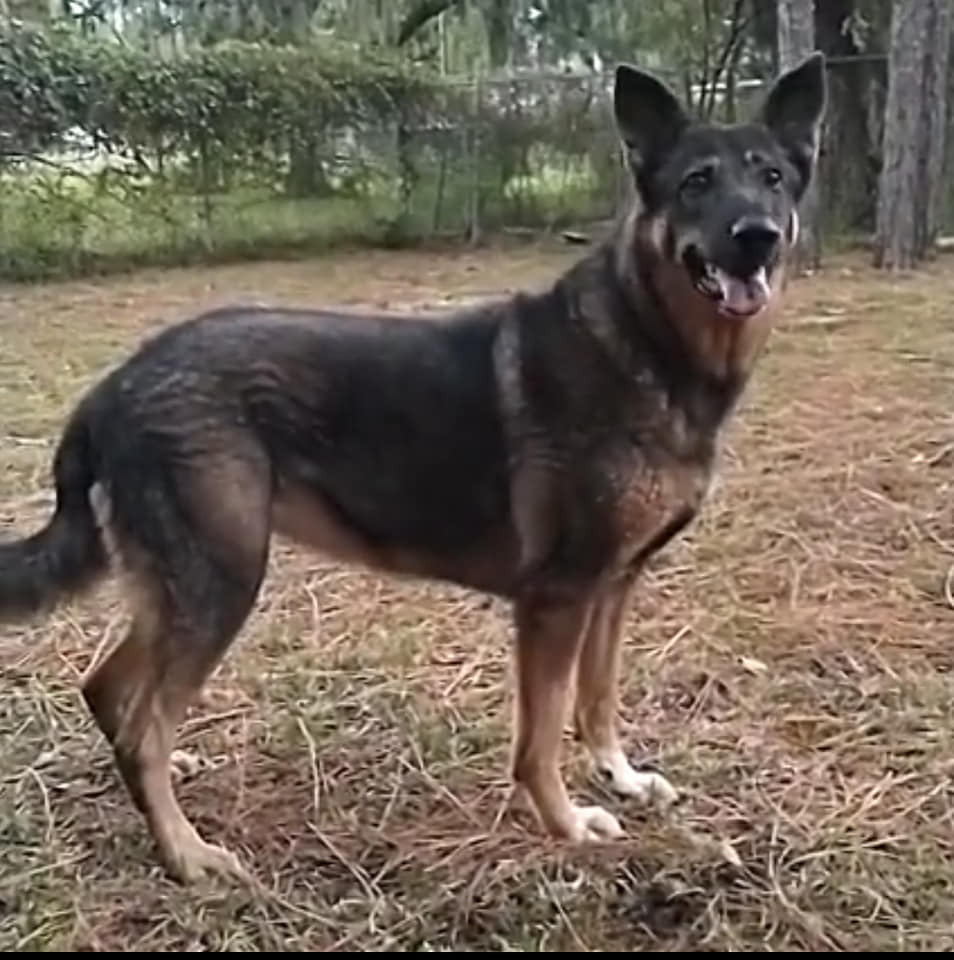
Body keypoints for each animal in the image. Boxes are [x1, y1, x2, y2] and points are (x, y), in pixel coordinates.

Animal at [0, 50, 820, 876]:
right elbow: (542, 736)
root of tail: (112, 387)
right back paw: (185, 852)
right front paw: (565, 823)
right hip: (221, 581)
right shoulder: (557, 598)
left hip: (185, 589)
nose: (755, 236)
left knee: (109, 691)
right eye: (696, 182)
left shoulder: (614, 586)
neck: (647, 341)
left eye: (773, 178)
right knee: (143, 726)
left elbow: (597, 699)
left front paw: (618, 777)